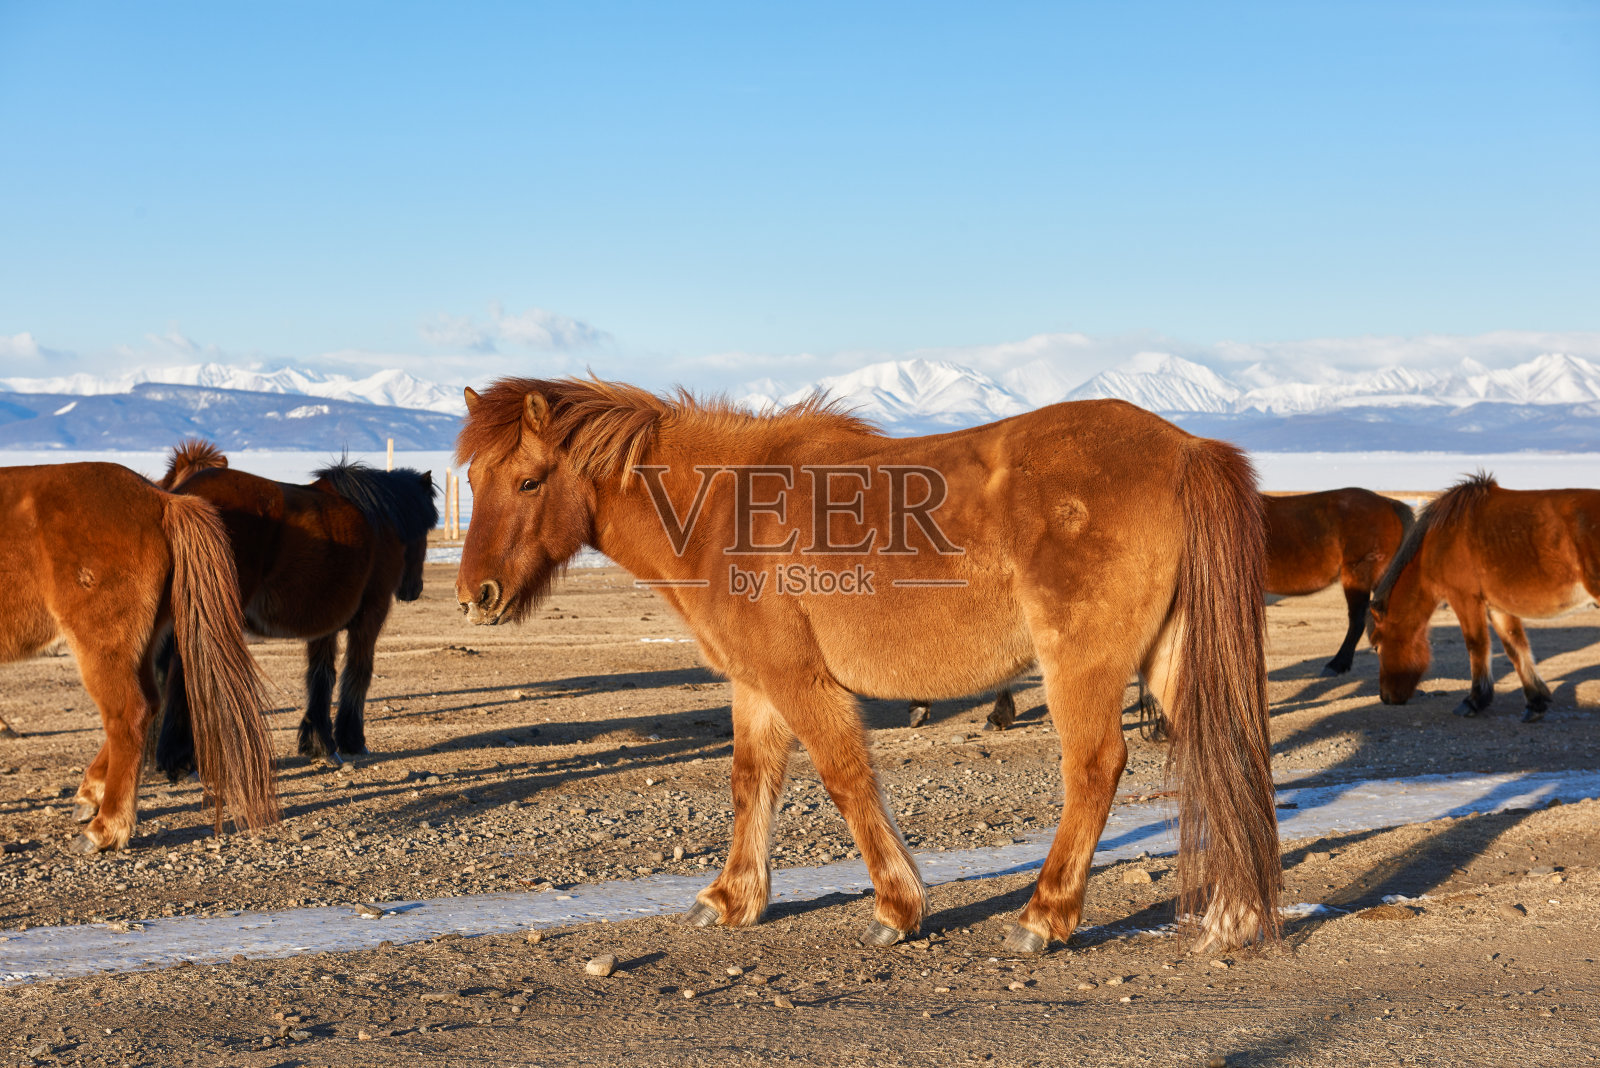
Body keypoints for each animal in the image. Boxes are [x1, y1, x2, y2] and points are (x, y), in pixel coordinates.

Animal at [0, 460, 278, 850]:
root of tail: (161, 500)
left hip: (101, 645)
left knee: (128, 715)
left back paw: (105, 828)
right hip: (136, 648)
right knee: (148, 704)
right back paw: (91, 795)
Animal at [154, 438, 438, 770]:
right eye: (425, 531)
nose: (413, 589)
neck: (380, 522)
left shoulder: (325, 621)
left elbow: (321, 675)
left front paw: (319, 743)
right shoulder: (372, 614)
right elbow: (359, 670)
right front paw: (352, 740)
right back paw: (179, 758)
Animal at [457, 375, 1280, 952]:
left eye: (529, 480)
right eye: (471, 481)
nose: (475, 596)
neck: (723, 507)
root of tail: (1184, 448)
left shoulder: (800, 682)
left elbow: (845, 779)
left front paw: (898, 906)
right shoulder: (757, 685)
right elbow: (751, 783)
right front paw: (732, 898)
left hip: (1079, 666)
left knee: (1095, 766)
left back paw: (1042, 917)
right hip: (1173, 658)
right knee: (1228, 750)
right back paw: (1233, 916)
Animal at [1363, 476, 1600, 725]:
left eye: (1377, 646)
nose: (1386, 697)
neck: (1440, 540)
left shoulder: (1464, 599)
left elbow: (1476, 644)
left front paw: (1474, 701)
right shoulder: (1497, 607)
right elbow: (1515, 647)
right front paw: (1535, 702)